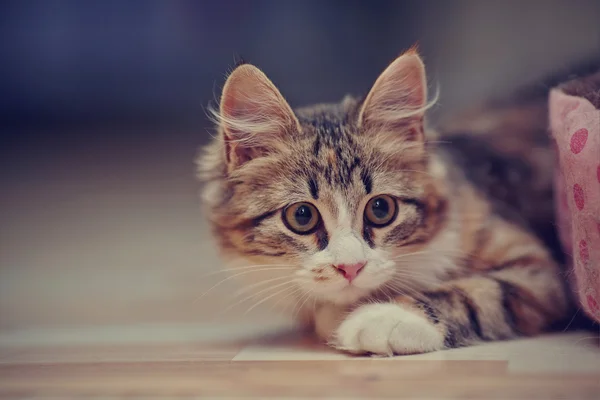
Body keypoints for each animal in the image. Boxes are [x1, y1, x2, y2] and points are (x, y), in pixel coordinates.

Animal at [198, 48, 572, 354]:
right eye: (302, 216)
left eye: (381, 209)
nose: (350, 268)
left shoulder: (540, 270)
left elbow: (478, 292)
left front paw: (387, 318)